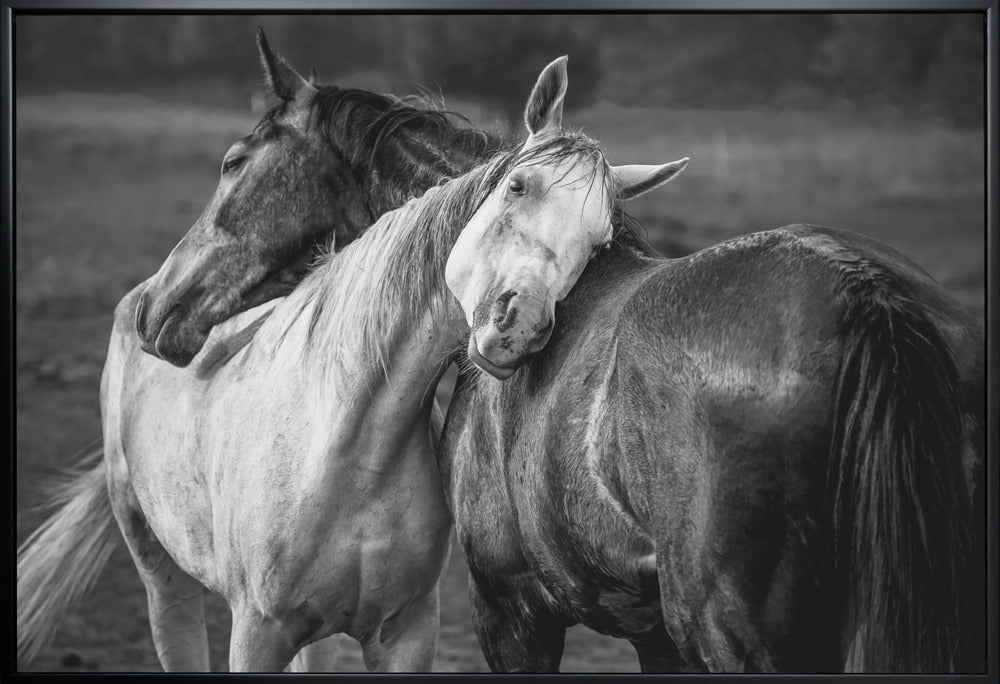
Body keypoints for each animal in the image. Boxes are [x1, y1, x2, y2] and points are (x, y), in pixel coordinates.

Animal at [16, 49, 685, 672]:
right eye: (516, 186)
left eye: (599, 242)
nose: (517, 324)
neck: (349, 439)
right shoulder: (257, 631)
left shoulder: (412, 630)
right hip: (162, 575)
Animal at [439, 58, 985, 673]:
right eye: (517, 186)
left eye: (598, 238)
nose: (521, 325)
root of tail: (861, 289)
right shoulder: (651, 632)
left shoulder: (509, 608)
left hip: (721, 626)